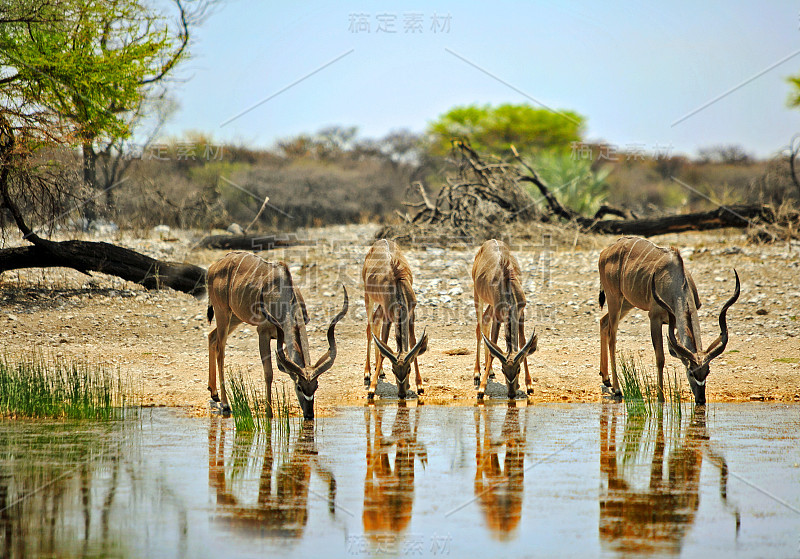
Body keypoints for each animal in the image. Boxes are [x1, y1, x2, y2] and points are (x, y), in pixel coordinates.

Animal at [206, 252, 346, 418]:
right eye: (299, 387)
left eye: (316, 386)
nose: (309, 414)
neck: (283, 298)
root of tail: (213, 266)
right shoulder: (263, 333)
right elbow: (269, 373)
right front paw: (269, 412)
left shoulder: (283, 338)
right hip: (222, 312)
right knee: (220, 350)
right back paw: (225, 404)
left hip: (235, 317)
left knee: (212, 337)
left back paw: (214, 393)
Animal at [362, 238, 428, 400]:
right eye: (393, 370)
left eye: (409, 369)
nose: (402, 393)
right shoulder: (388, 317)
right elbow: (383, 346)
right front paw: (372, 389)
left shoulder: (411, 315)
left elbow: (413, 343)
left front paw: (420, 385)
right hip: (368, 297)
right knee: (370, 328)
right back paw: (367, 373)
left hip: (379, 305)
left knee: (375, 322)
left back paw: (379, 371)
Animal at [476, 238, 536, 400]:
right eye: (503, 370)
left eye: (518, 369)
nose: (511, 393)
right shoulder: (498, 317)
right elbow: (493, 347)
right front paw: (481, 389)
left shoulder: (521, 314)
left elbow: (522, 342)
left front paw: (529, 385)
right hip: (478, 296)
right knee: (479, 327)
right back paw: (477, 374)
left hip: (490, 305)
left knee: (485, 321)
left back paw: (489, 371)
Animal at [596, 236, 740, 402]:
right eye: (691, 372)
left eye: (707, 371)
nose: (701, 399)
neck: (675, 283)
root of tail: (606, 251)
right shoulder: (655, 318)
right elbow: (660, 358)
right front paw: (661, 397)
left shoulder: (675, 323)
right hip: (614, 298)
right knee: (612, 337)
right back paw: (617, 389)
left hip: (627, 302)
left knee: (603, 322)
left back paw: (606, 378)